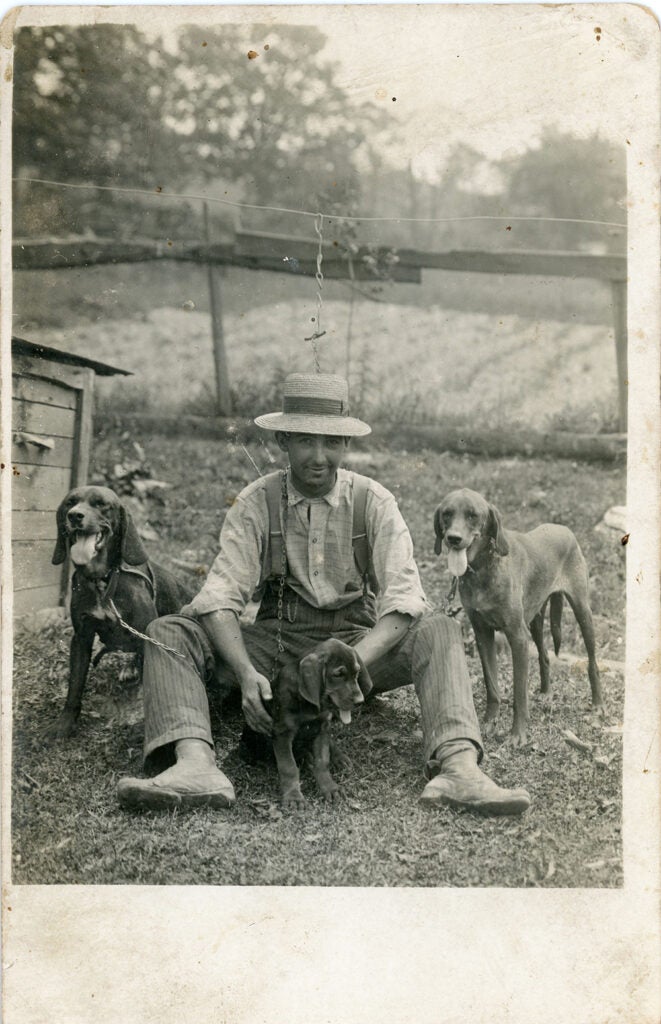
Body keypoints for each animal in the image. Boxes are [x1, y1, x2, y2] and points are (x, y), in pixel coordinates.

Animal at [49, 483, 191, 741]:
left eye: (101, 504)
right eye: (70, 502)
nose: (74, 516)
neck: (103, 580)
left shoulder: (147, 636)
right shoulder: (81, 638)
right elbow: (74, 686)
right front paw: (64, 725)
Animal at [270, 638, 372, 806]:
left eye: (357, 672)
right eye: (338, 674)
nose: (360, 701)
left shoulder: (322, 727)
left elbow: (322, 761)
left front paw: (330, 788)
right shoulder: (282, 733)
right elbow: (288, 767)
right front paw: (293, 796)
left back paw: (339, 758)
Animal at [435, 487, 605, 745]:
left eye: (473, 515)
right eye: (447, 514)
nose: (453, 538)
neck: (485, 566)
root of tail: (564, 529)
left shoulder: (517, 636)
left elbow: (518, 692)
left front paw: (518, 734)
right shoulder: (483, 634)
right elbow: (491, 685)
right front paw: (489, 722)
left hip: (582, 611)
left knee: (592, 661)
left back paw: (597, 704)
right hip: (534, 621)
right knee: (544, 656)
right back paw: (546, 693)